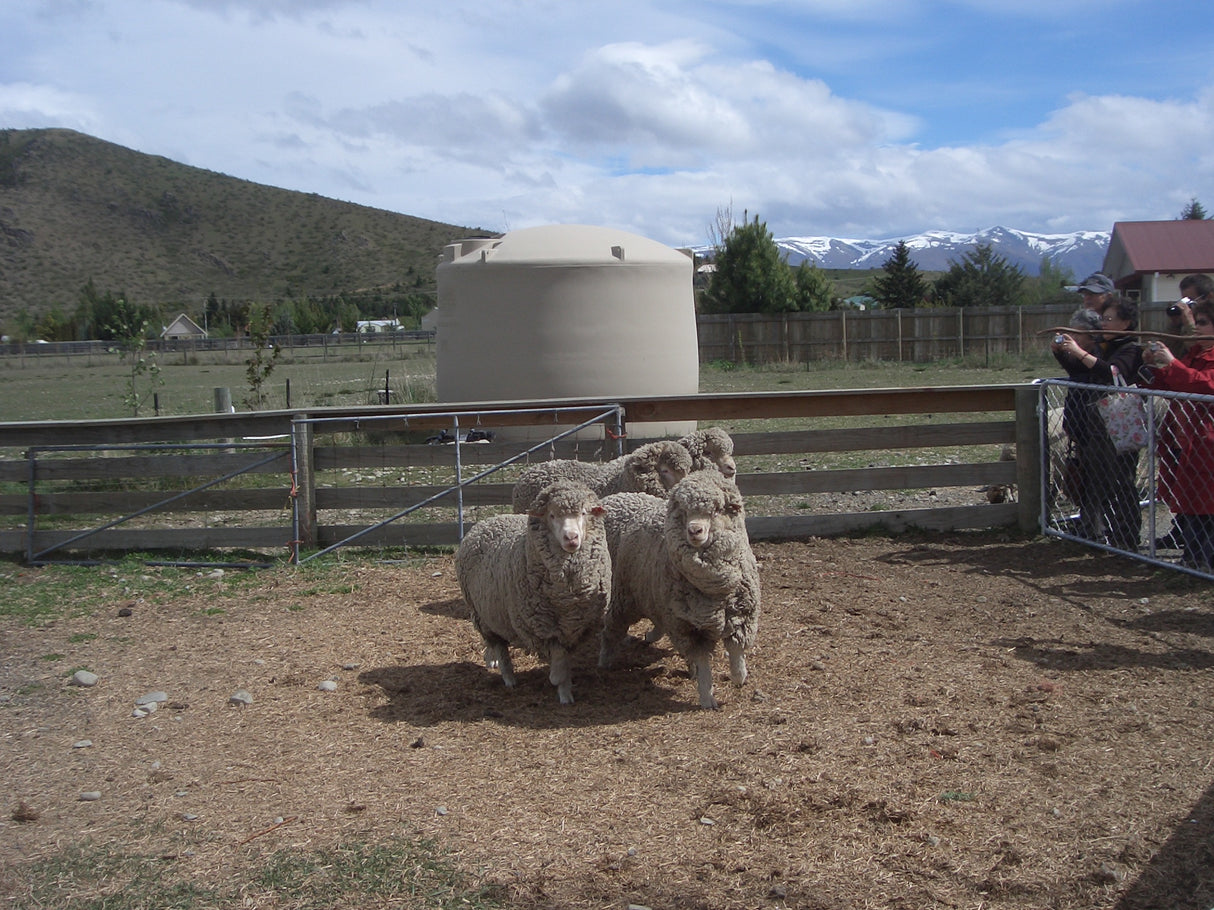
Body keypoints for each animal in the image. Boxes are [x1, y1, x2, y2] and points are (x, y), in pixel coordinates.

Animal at [455, 481, 611, 705]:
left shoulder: (577, 625)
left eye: (583, 512)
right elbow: (560, 663)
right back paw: (509, 677)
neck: (567, 597)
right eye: (552, 515)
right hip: (483, 614)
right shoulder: (546, 627)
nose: (571, 537)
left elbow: (566, 660)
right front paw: (564, 693)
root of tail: (486, 520)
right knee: (499, 647)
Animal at [598, 470, 761, 710]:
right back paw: (605, 660)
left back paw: (650, 637)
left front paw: (739, 677)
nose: (694, 531)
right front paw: (707, 697)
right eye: (683, 511)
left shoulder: (741, 615)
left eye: (716, 510)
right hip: (624, 597)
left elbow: (737, 652)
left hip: (656, 598)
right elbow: (703, 663)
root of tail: (614, 498)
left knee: (655, 621)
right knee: (612, 627)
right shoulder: (688, 628)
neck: (713, 586)